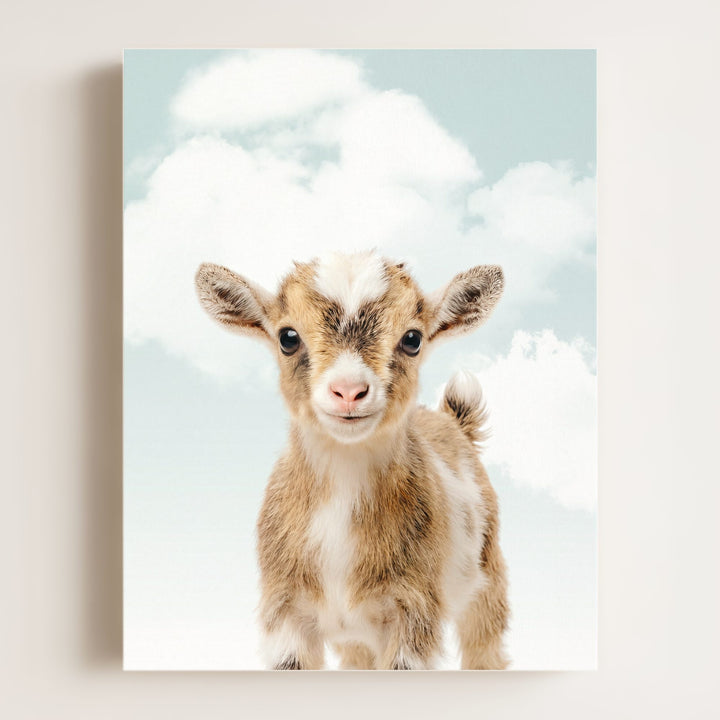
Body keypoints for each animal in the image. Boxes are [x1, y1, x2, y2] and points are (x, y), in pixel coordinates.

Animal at [195, 251, 509, 670]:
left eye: (413, 339)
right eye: (287, 337)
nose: (348, 391)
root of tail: (453, 420)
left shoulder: (414, 610)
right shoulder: (285, 611)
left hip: (488, 578)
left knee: (485, 645)